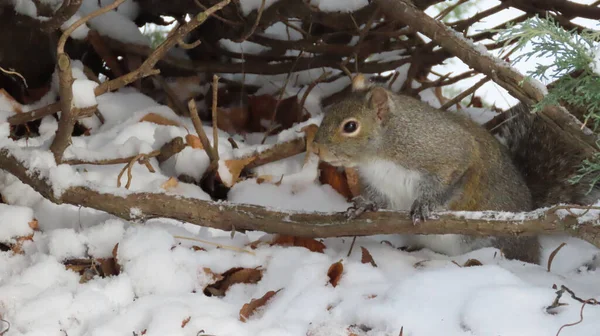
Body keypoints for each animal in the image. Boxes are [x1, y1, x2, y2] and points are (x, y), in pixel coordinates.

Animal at [312, 75, 596, 264]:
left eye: (350, 126)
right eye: (329, 111)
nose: (316, 150)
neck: (380, 155)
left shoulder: (450, 155)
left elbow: (450, 182)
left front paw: (425, 204)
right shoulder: (380, 183)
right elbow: (379, 200)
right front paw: (363, 205)